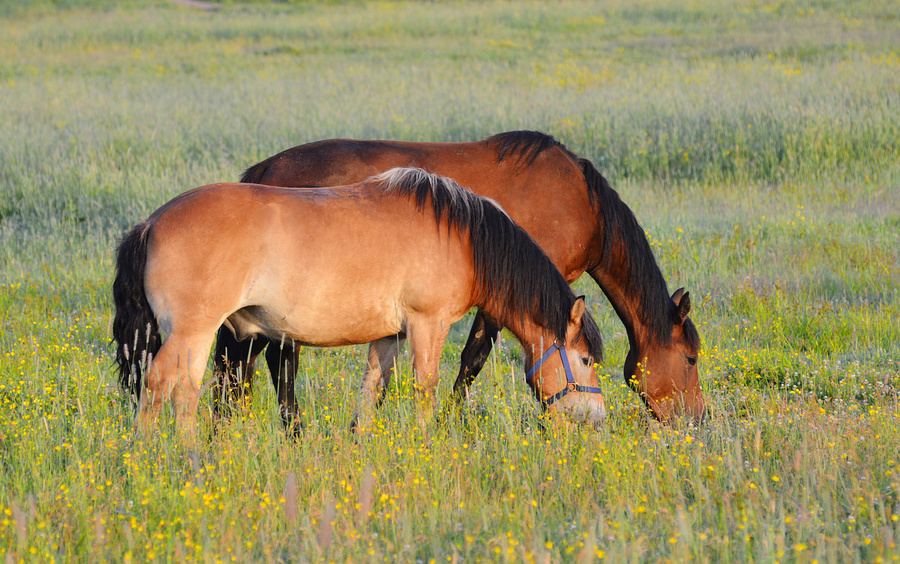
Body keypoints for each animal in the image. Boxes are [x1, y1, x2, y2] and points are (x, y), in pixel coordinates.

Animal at [110, 165, 604, 434]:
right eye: (584, 360)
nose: (596, 418)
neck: (464, 239)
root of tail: (150, 224)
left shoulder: (388, 336)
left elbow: (371, 393)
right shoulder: (427, 325)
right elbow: (425, 389)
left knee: (191, 391)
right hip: (192, 333)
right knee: (162, 386)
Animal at [214, 132, 708, 426]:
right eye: (690, 359)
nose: (698, 419)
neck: (582, 201)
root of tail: (264, 171)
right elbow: (473, 361)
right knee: (274, 363)